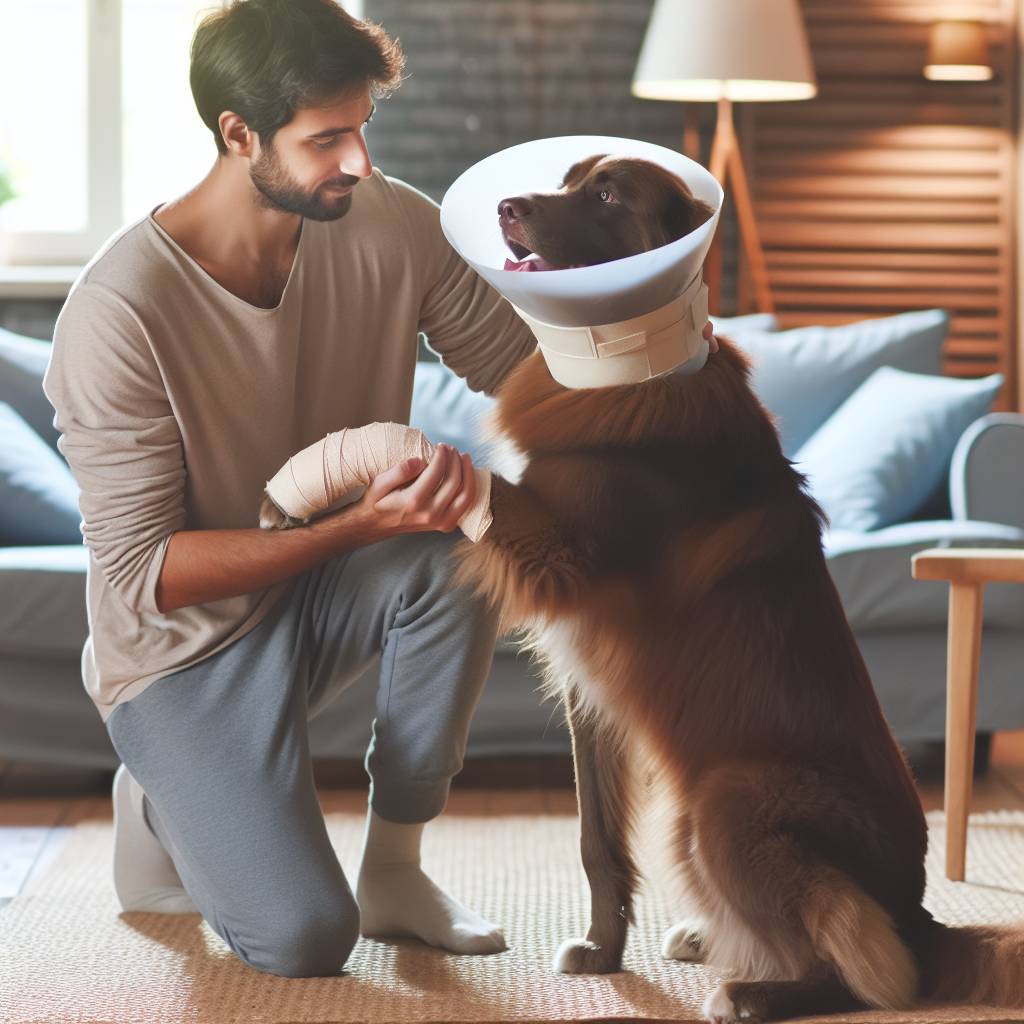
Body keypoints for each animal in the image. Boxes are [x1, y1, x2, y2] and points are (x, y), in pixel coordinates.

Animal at [454, 155, 1024, 1019]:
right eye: (568, 176)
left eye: (607, 195)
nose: (504, 207)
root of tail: (920, 916)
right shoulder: (588, 687)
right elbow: (595, 840)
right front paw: (603, 952)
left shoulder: (564, 555)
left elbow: (471, 477)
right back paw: (713, 939)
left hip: (726, 793)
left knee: (872, 977)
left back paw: (754, 990)